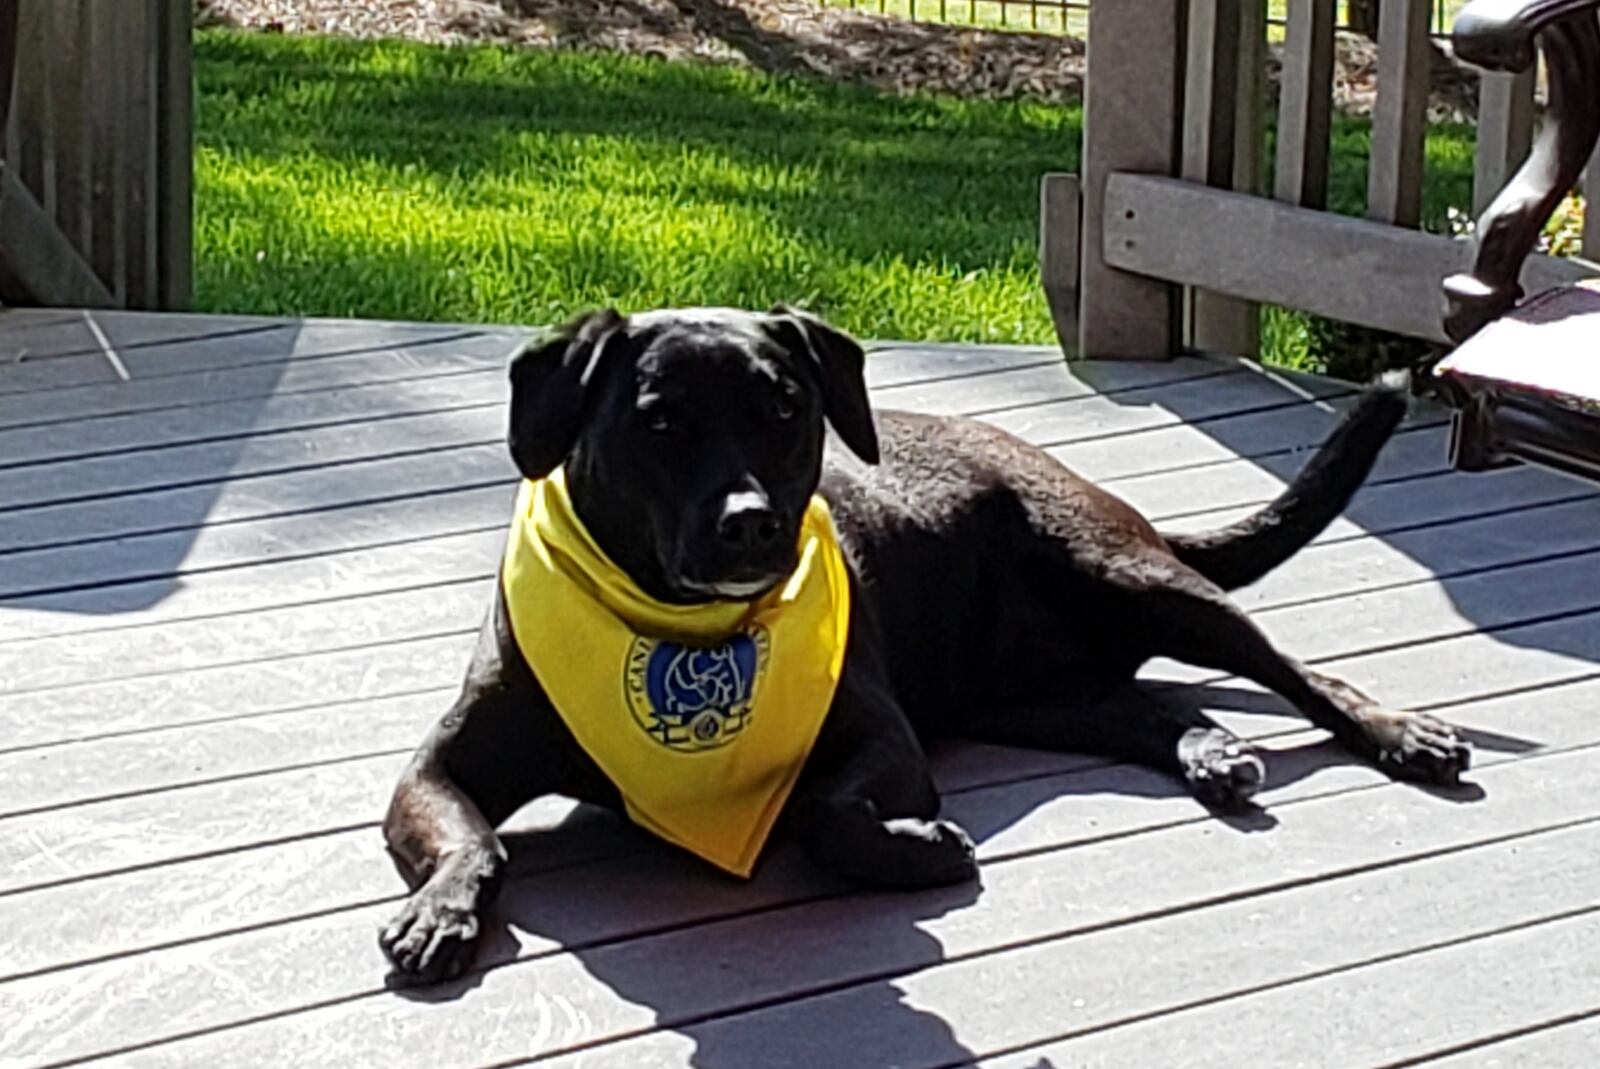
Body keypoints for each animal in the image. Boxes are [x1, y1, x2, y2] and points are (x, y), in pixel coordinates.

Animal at [380, 304, 1465, 979]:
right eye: (659, 421)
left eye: (787, 408)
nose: (750, 525)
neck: (677, 630)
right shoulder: (435, 770)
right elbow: (472, 837)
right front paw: (442, 907)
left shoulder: (883, 741)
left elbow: (825, 814)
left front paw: (919, 845)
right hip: (1035, 699)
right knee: (1150, 708)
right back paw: (1209, 749)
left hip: (1136, 576)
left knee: (1299, 671)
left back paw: (1397, 731)